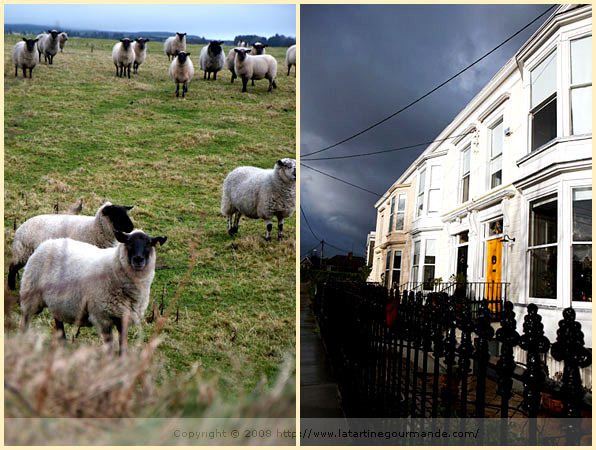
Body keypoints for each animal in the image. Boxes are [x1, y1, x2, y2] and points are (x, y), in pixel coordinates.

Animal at [18, 230, 168, 354]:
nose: (138, 259)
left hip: (57, 301)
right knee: (26, 318)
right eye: (129, 242)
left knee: (58, 321)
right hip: (30, 292)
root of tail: (47, 242)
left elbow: (122, 344)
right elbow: (109, 345)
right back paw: (23, 340)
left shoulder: (124, 317)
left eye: (149, 244)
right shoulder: (103, 317)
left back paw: (63, 343)